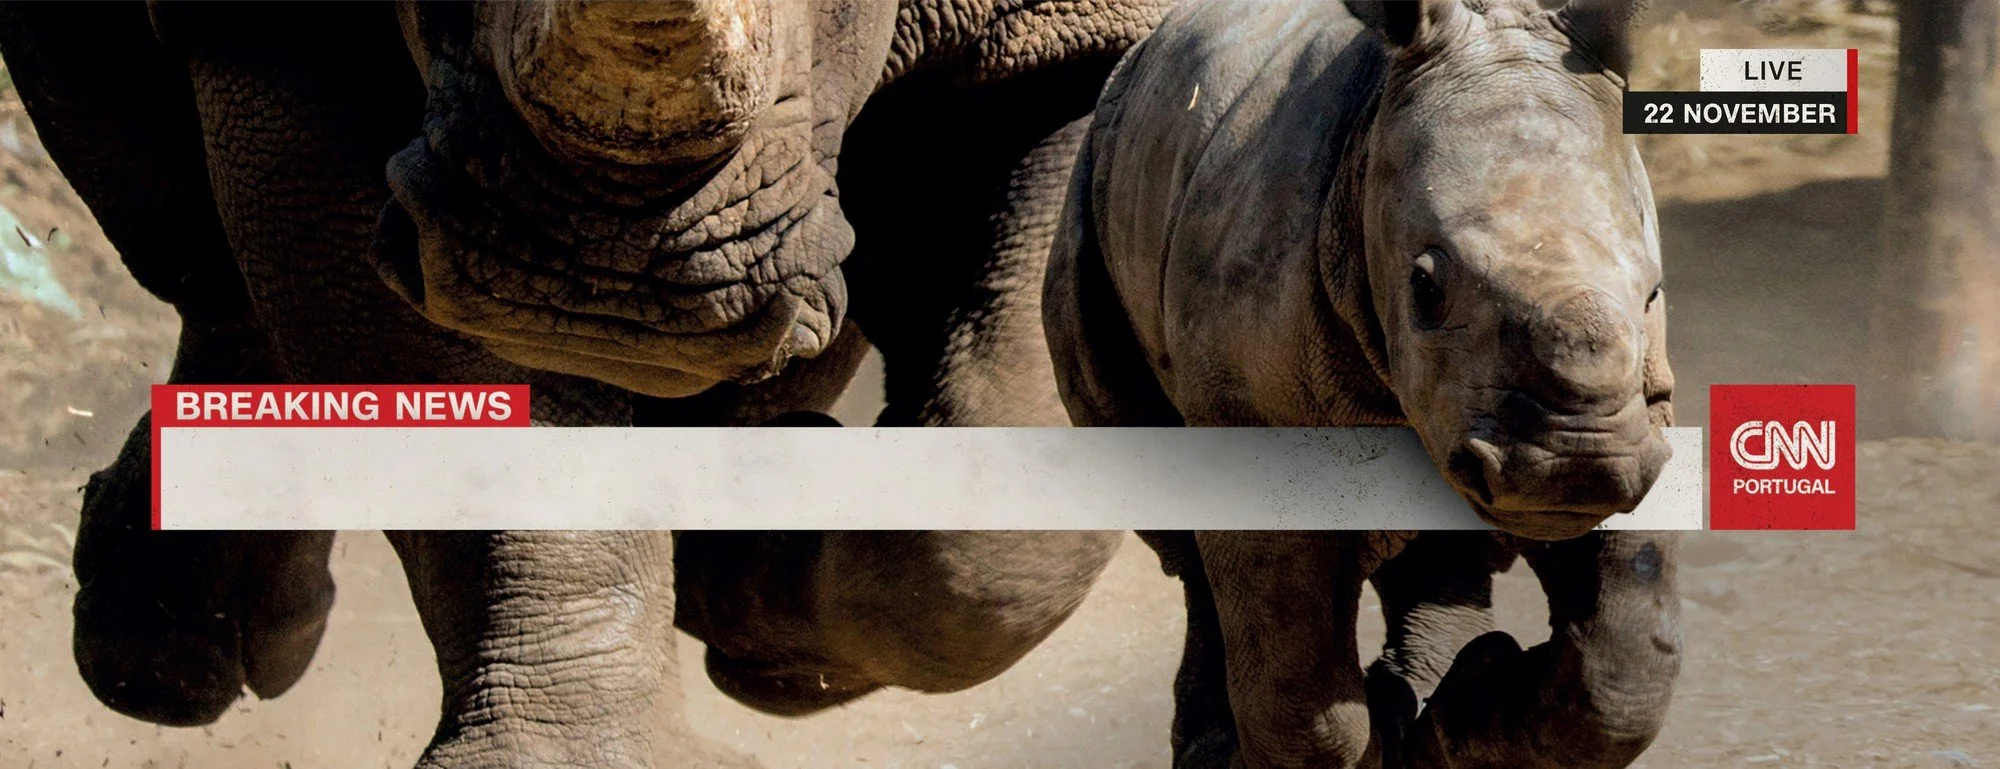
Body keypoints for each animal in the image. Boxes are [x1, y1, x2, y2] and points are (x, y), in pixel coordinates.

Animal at [0, 1, 1179, 766]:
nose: (605, 283)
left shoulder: (1069, 35)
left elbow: (993, 515)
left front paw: (754, 605)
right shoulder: (284, 36)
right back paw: (171, 661)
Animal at [1043, 0, 1683, 767]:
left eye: (1654, 293)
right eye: (1425, 290)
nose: (1571, 468)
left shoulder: (1641, 416)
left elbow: (1623, 669)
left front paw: (1461, 724)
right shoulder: (1253, 420)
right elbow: (1300, 700)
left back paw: (1450, 695)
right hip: (1091, 194)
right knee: (1177, 531)